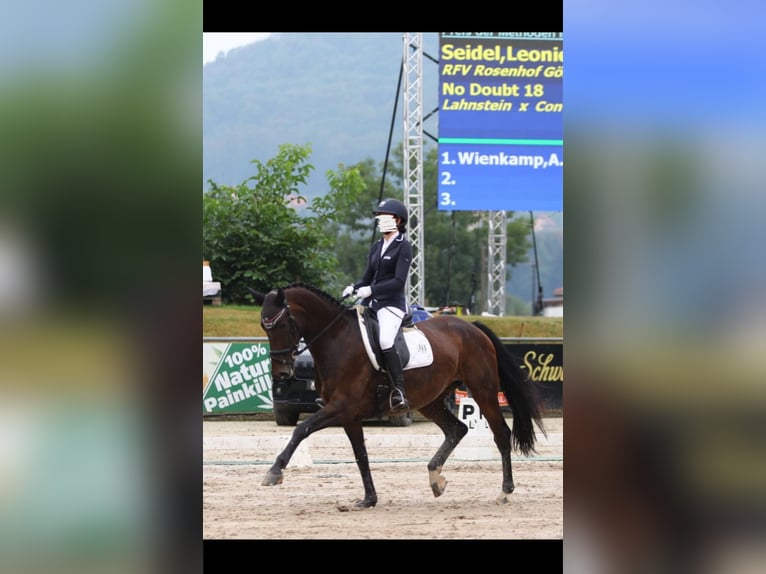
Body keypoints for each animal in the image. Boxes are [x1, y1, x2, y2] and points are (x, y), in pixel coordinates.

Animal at [255, 284, 548, 508]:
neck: (337, 340)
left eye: (282, 324)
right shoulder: (349, 415)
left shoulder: (340, 407)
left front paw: (274, 472)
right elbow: (361, 455)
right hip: (430, 399)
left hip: (482, 389)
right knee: (457, 429)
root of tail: (473, 328)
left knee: (501, 434)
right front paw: (369, 499)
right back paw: (435, 478)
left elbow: (301, 429)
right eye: (264, 326)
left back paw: (505, 491)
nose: (282, 373)